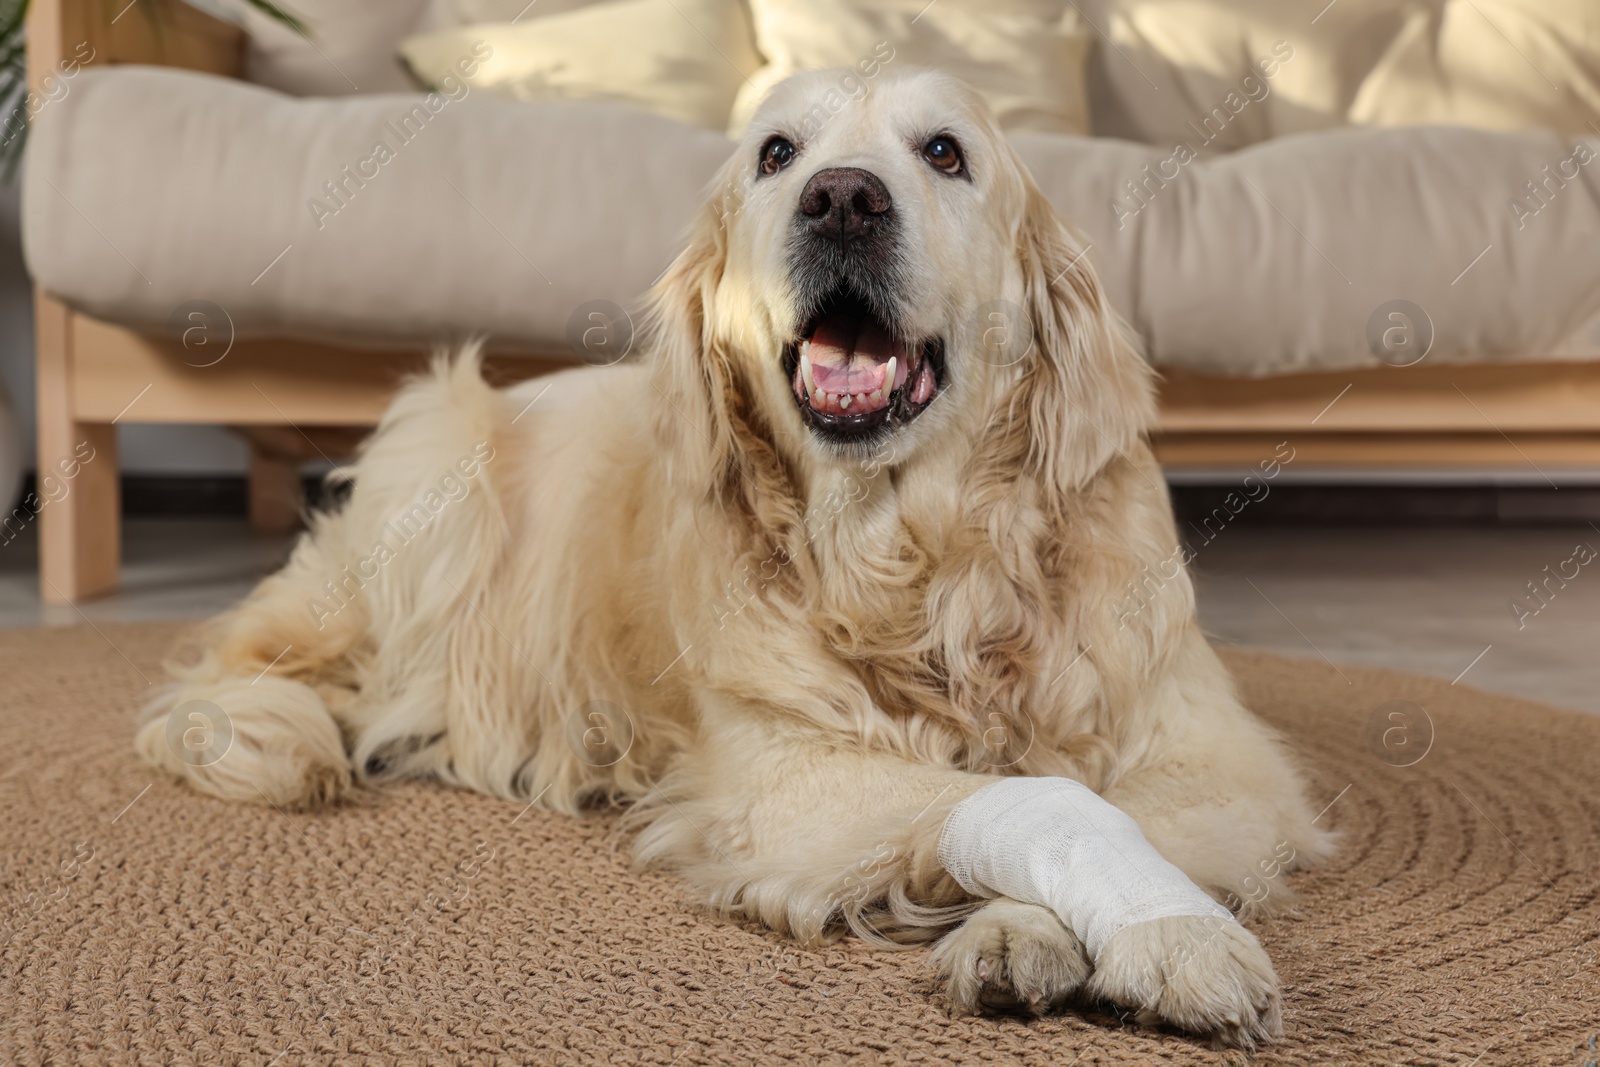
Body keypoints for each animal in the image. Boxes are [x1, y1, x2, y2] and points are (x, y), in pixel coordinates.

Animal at [137, 70, 1331, 1049]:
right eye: (776, 153)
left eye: (945, 151)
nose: (842, 199)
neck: (917, 568)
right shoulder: (781, 778)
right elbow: (1040, 798)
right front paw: (1173, 936)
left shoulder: (1219, 762)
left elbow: (1102, 800)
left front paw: (1031, 930)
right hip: (438, 462)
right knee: (250, 669)